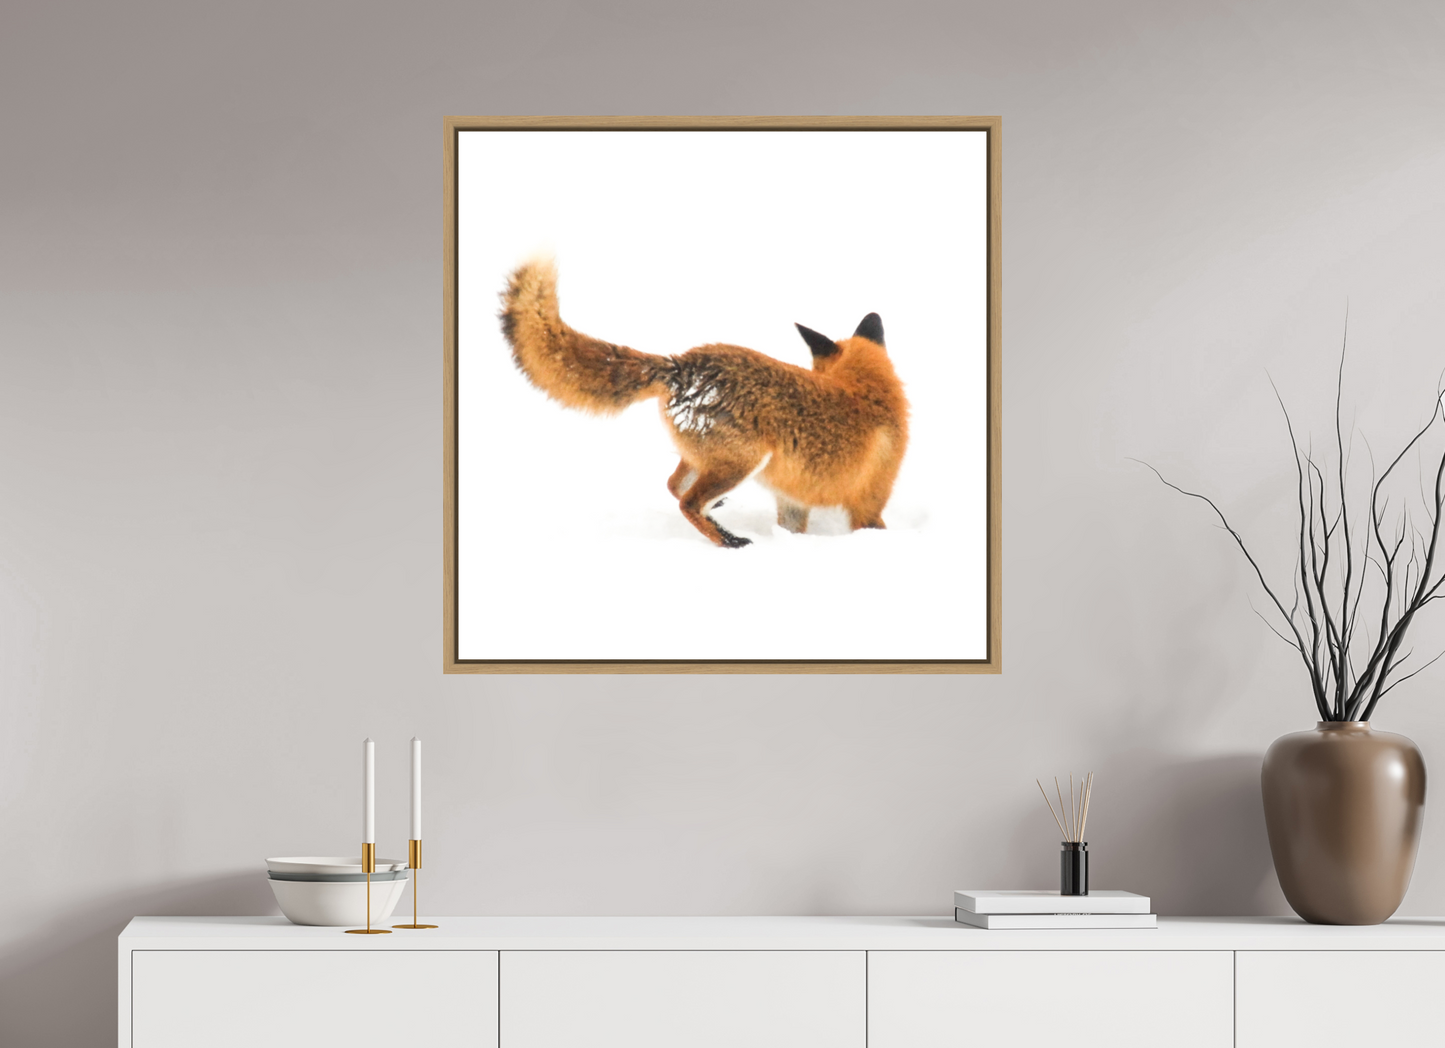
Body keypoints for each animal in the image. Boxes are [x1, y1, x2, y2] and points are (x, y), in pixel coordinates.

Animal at [498, 259, 909, 548]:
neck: (865, 388)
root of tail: (681, 364)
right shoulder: (869, 502)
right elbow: (872, 525)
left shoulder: (792, 501)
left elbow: (792, 529)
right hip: (742, 461)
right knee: (688, 503)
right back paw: (730, 542)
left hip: (705, 459)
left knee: (673, 485)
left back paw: (718, 517)